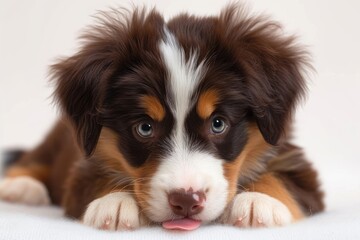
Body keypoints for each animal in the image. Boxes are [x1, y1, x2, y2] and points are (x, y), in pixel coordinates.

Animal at [0, 4, 324, 231]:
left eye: (218, 123)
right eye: (144, 128)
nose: (186, 201)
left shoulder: (296, 165)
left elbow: (282, 180)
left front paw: (260, 201)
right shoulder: (84, 167)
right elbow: (99, 180)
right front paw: (115, 202)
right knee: (32, 158)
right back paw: (21, 186)